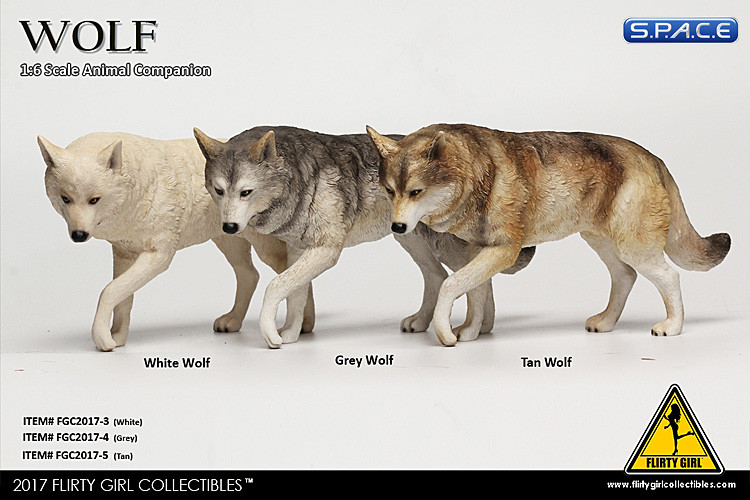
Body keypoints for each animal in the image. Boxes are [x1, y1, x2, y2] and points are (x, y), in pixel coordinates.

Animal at [39, 132, 314, 351]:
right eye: (65, 199)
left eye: (94, 200)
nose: (78, 235)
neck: (136, 190)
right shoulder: (124, 253)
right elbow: (123, 300)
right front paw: (117, 338)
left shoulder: (158, 256)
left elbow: (109, 291)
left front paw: (102, 339)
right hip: (229, 242)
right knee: (250, 275)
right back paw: (234, 321)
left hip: (267, 250)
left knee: (293, 275)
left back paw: (303, 325)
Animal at [193, 126, 536, 348]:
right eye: (219, 191)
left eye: (246, 192)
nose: (229, 228)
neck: (298, 180)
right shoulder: (298, 251)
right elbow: (296, 296)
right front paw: (290, 333)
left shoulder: (326, 251)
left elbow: (275, 286)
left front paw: (271, 335)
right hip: (409, 240)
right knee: (440, 278)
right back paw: (453, 325)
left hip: (439, 245)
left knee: (473, 279)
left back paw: (472, 330)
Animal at [366, 123, 731, 346]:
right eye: (390, 191)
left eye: (416, 192)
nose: (397, 228)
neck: (480, 175)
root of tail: (652, 156)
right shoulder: (476, 251)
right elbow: (476, 295)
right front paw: (470, 332)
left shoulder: (503, 251)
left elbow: (450, 285)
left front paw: (446, 333)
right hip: (601, 242)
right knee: (625, 276)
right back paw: (606, 322)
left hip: (634, 247)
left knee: (669, 276)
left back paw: (673, 326)